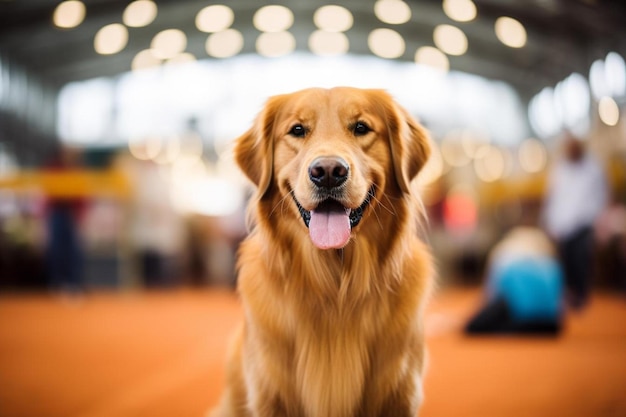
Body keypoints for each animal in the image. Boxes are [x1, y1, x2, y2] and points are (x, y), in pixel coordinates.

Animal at [212, 86, 432, 414]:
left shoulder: (400, 394)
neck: (335, 287)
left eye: (361, 128)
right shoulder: (269, 395)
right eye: (297, 130)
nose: (328, 171)